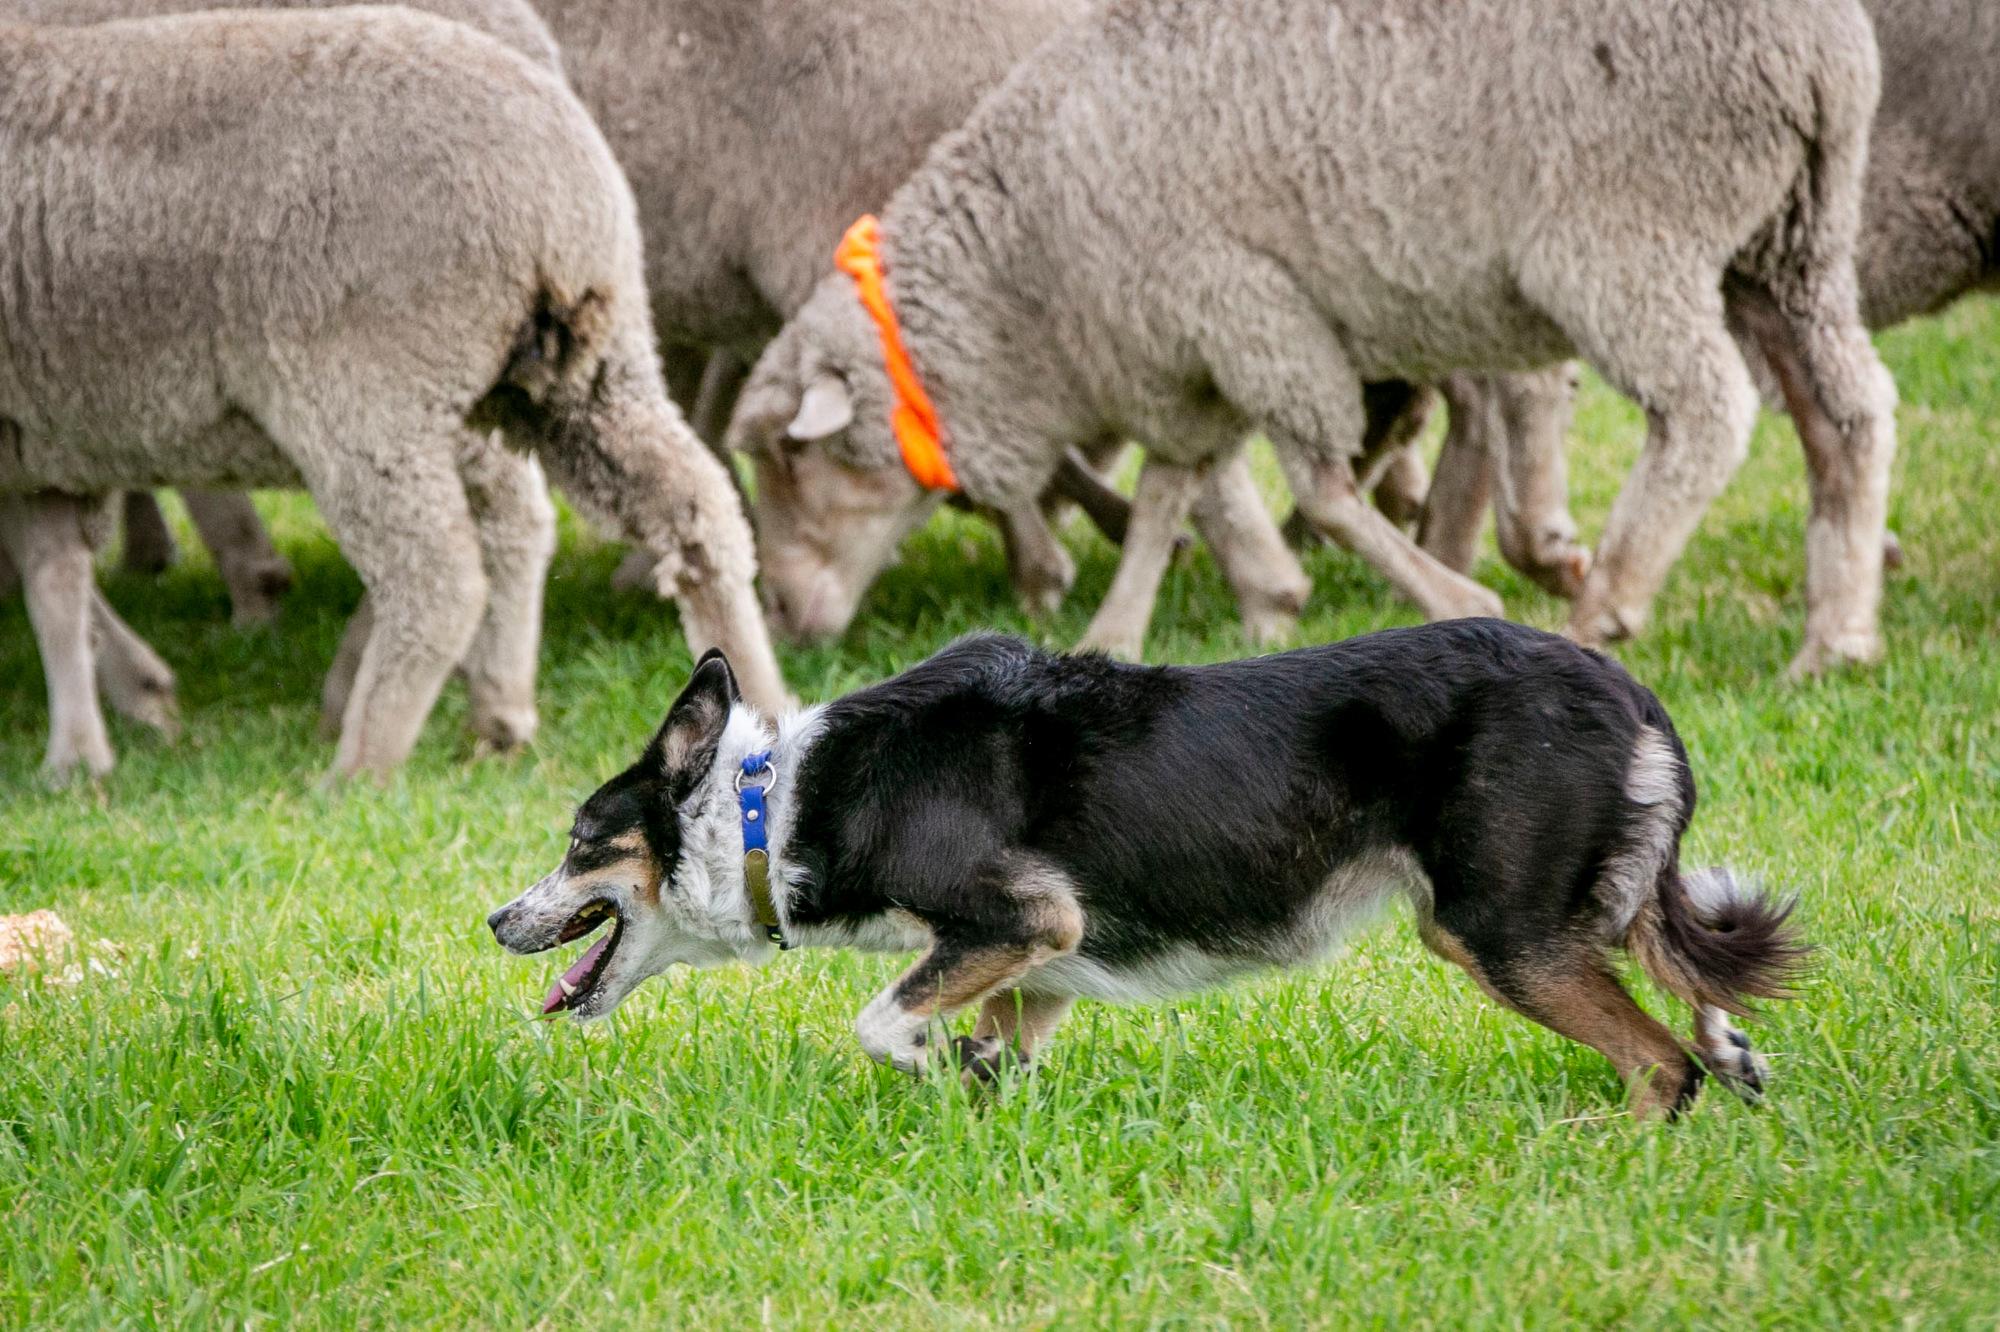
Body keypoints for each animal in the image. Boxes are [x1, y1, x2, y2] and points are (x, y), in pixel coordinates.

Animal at [0, 7, 780, 780]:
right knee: (690, 509)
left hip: (366, 394)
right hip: (584, 369)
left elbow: (51, 580)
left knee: (439, 575)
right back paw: (753, 707)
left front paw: (83, 752)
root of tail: (550, 189)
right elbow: (53, 577)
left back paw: (359, 761)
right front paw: (96, 738)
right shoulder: (36, 444)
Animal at [728, 0, 1896, 664]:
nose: (778, 616)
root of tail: (1818, 53)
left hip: (1625, 239)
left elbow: (1324, 491)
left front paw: (1453, 597)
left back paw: (1606, 602)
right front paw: (1118, 630)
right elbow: (1169, 490)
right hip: (1794, 238)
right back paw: (1835, 636)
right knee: (1846, 412)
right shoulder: (1182, 354)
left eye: (791, 463)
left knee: (1705, 411)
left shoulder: (1250, 312)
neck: (1029, 269)